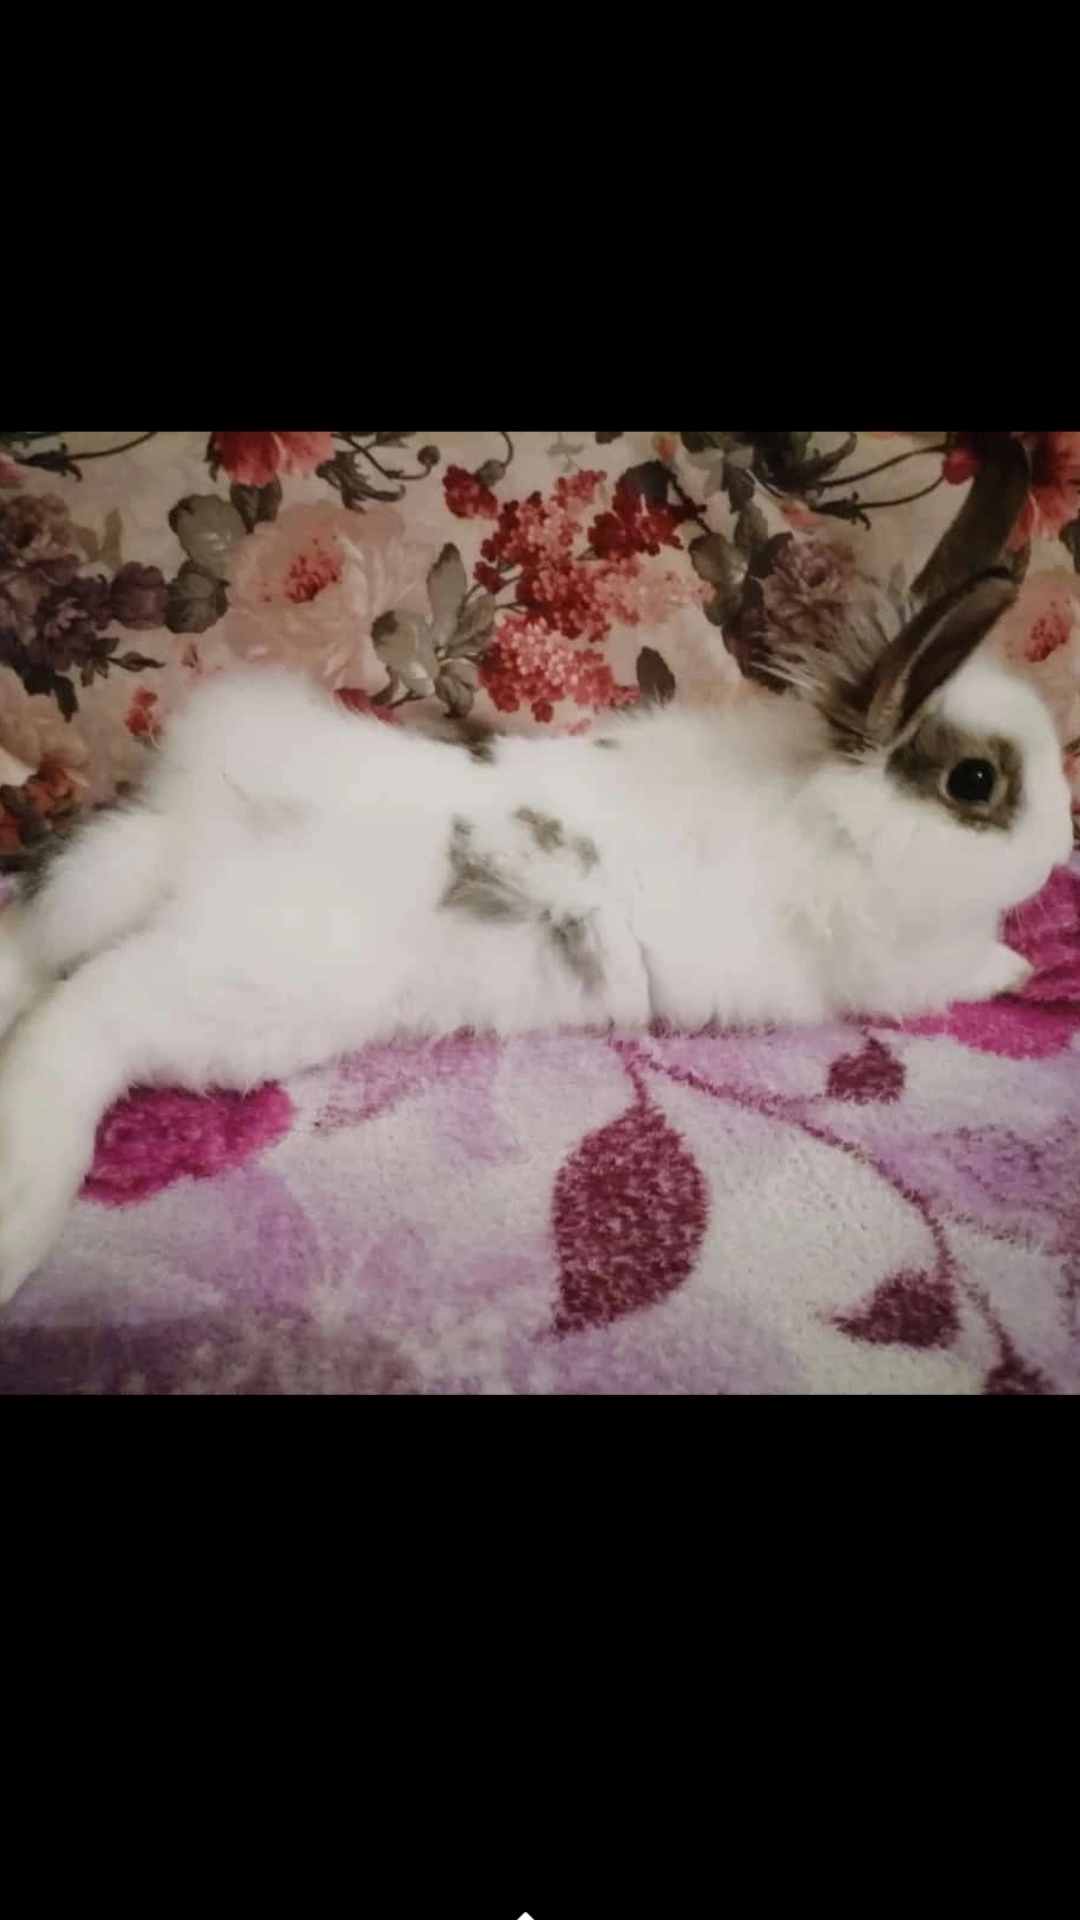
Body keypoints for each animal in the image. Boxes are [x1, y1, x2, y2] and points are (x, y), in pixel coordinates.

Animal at [0, 568, 1072, 1304]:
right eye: (976, 782)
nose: (1061, 844)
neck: (838, 812)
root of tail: (195, 825)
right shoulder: (899, 968)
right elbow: (971, 967)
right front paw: (1027, 961)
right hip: (252, 985)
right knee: (84, 1019)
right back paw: (21, 1216)